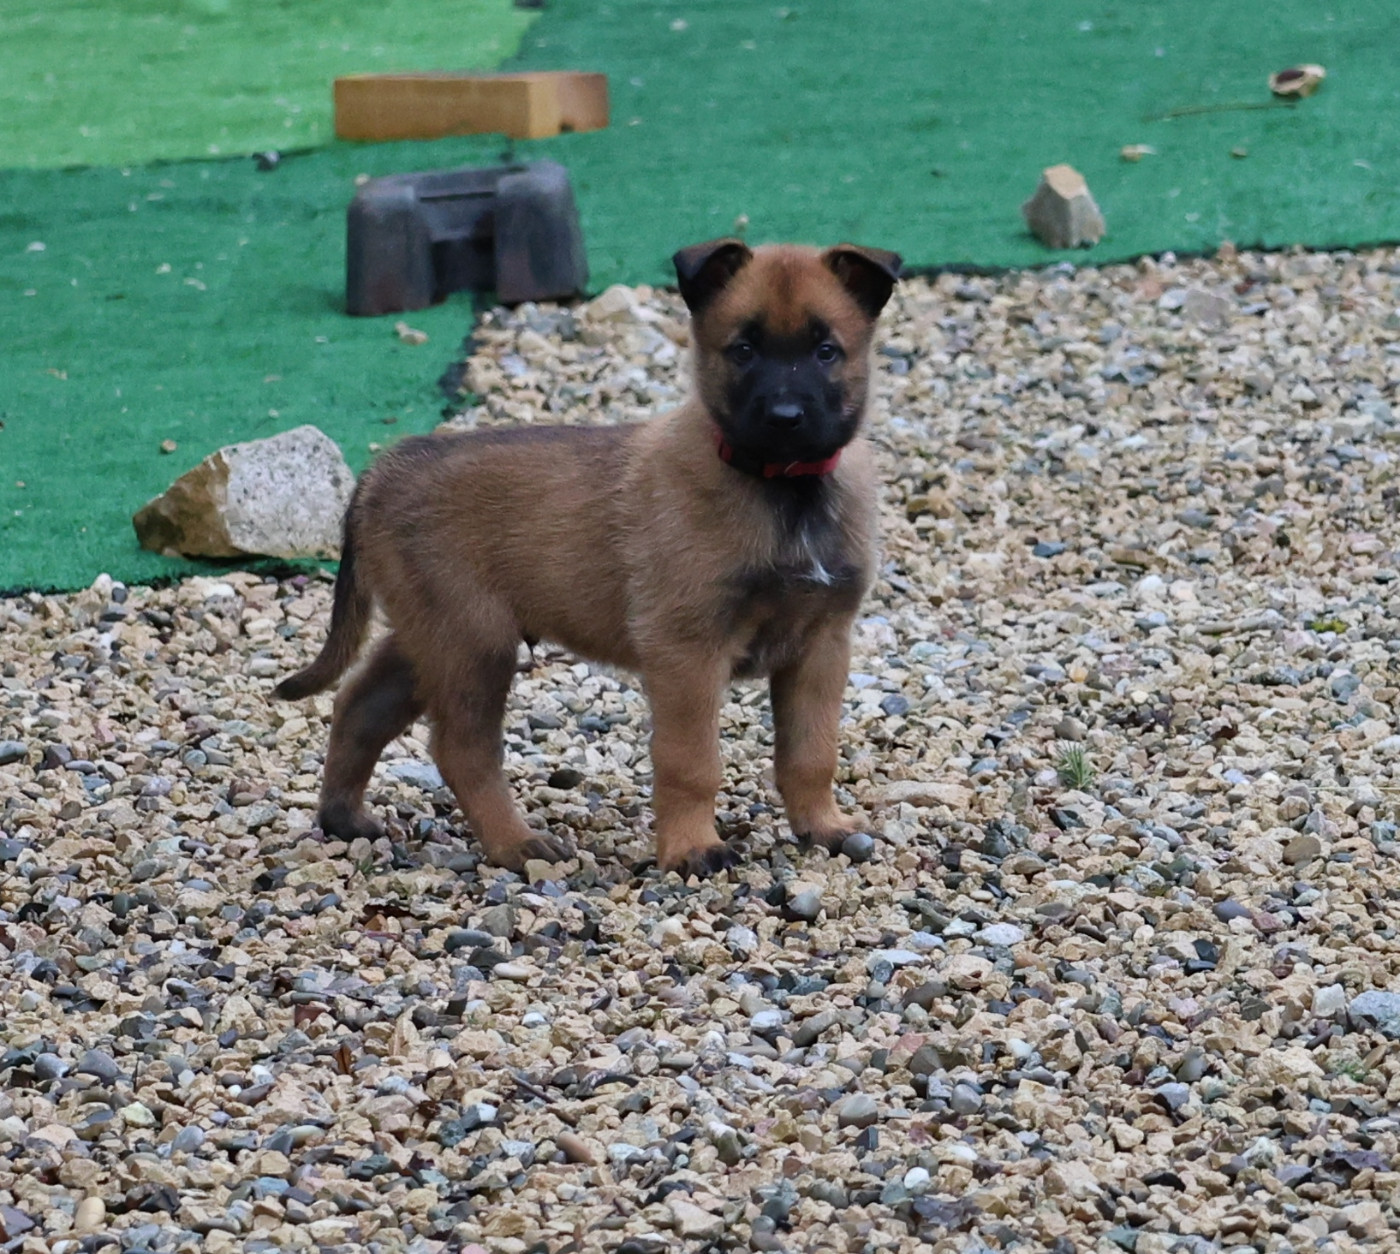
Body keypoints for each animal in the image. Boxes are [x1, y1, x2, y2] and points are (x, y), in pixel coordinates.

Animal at [274, 238, 901, 878]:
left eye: (826, 351)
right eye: (744, 350)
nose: (785, 418)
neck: (785, 491)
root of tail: (382, 472)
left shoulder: (821, 643)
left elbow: (812, 751)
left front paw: (822, 827)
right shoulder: (687, 650)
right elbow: (692, 761)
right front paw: (691, 847)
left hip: (434, 636)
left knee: (360, 704)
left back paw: (343, 817)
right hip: (473, 642)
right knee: (460, 749)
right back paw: (515, 844)